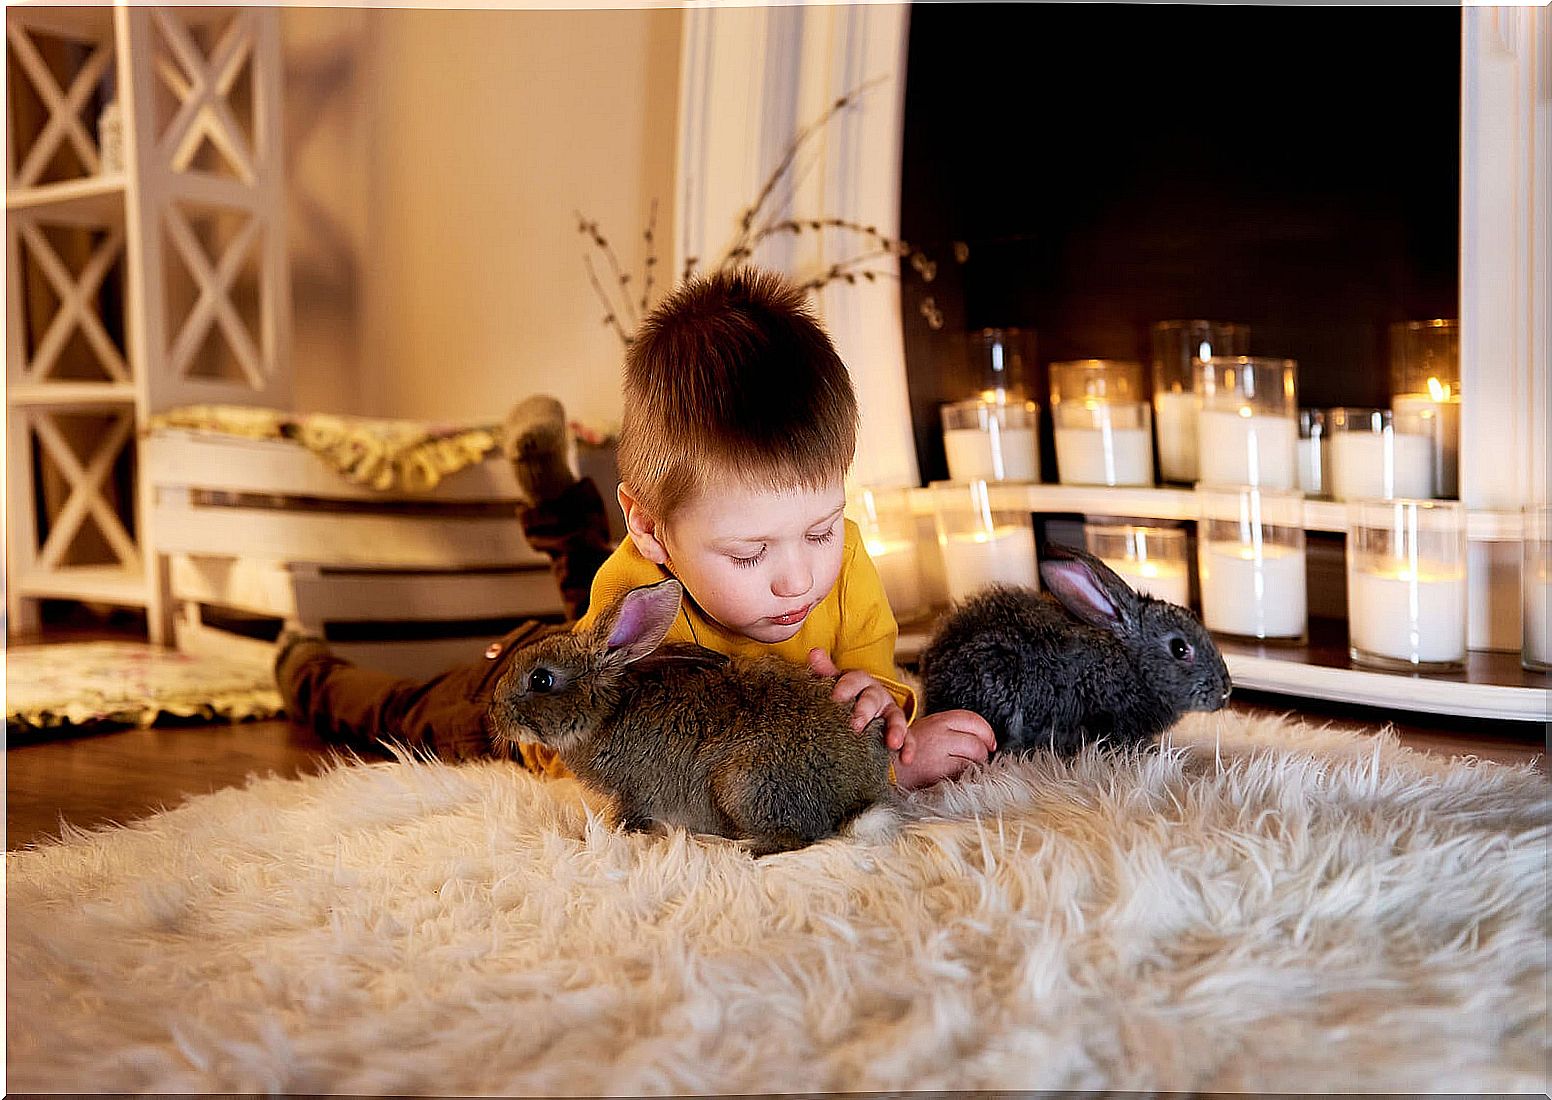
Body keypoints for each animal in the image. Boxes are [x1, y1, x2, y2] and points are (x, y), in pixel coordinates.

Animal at [484, 574, 900, 856]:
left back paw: (726, 845)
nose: (496, 714)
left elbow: (627, 818)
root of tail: (857, 802)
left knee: (791, 839)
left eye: (540, 679)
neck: (606, 712)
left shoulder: (634, 793)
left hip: (745, 785)